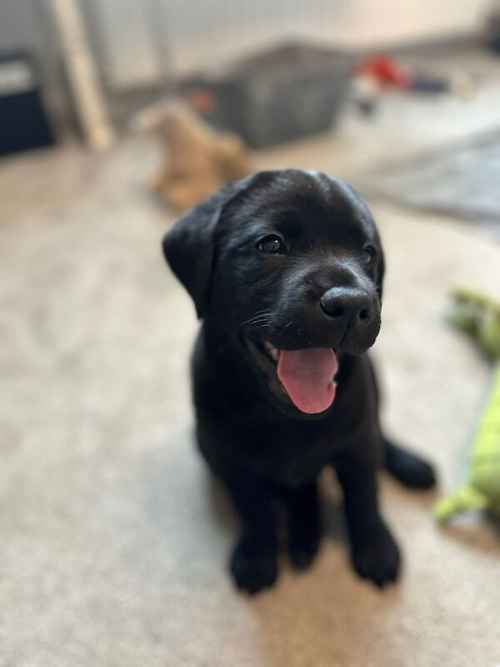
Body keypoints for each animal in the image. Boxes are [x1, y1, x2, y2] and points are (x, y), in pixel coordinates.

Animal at [162, 171, 436, 596]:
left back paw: (408, 464)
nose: (351, 304)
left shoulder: (357, 442)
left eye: (368, 253)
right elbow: (254, 508)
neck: (288, 417)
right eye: (271, 244)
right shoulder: (230, 457)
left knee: (381, 435)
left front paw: (376, 550)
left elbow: (364, 496)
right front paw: (257, 557)